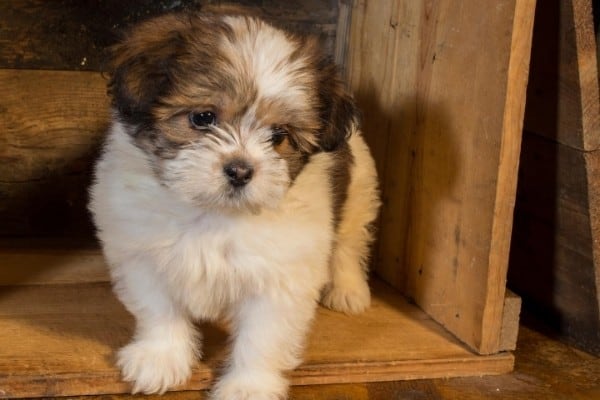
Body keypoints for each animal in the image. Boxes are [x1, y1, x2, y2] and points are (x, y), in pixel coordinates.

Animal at [89, 9, 380, 400]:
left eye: (278, 136)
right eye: (203, 118)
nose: (240, 170)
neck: (213, 213)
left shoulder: (280, 279)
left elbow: (262, 338)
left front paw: (248, 385)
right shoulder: (140, 255)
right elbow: (159, 309)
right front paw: (161, 357)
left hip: (360, 188)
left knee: (349, 243)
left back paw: (348, 289)